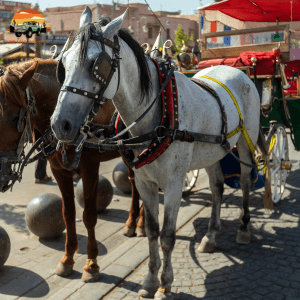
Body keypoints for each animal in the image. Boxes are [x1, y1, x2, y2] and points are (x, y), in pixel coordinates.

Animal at [0, 58, 144, 282]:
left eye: (17, 118)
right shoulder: (59, 171)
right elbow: (67, 214)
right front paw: (67, 260)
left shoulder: (90, 168)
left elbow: (89, 216)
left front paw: (91, 264)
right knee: (134, 181)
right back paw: (131, 223)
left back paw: (142, 224)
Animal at [51, 7, 272, 300]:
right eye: (62, 64)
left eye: (96, 64)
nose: (59, 125)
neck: (157, 113)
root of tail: (236, 70)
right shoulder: (144, 182)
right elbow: (153, 231)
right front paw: (150, 280)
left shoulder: (174, 183)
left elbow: (168, 235)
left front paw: (165, 283)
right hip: (212, 150)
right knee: (216, 187)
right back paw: (210, 237)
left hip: (246, 142)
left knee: (246, 180)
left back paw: (245, 228)